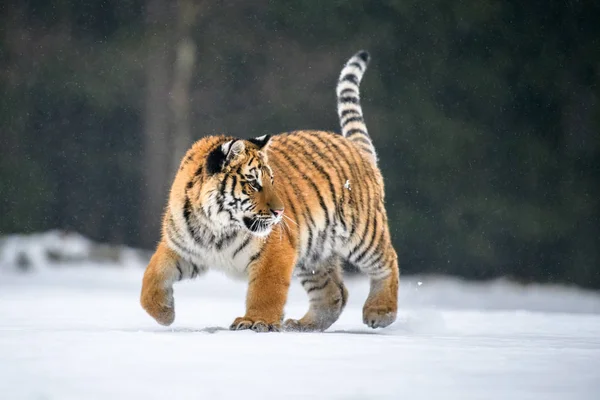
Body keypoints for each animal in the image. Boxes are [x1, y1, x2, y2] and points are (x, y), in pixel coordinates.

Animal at [142, 49, 398, 332]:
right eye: (254, 183)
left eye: (271, 180)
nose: (280, 212)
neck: (215, 226)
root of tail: (357, 149)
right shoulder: (180, 248)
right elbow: (151, 277)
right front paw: (164, 313)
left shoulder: (275, 251)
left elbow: (266, 290)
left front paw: (256, 320)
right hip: (314, 254)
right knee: (334, 293)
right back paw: (302, 325)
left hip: (362, 233)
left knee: (388, 261)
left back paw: (380, 312)